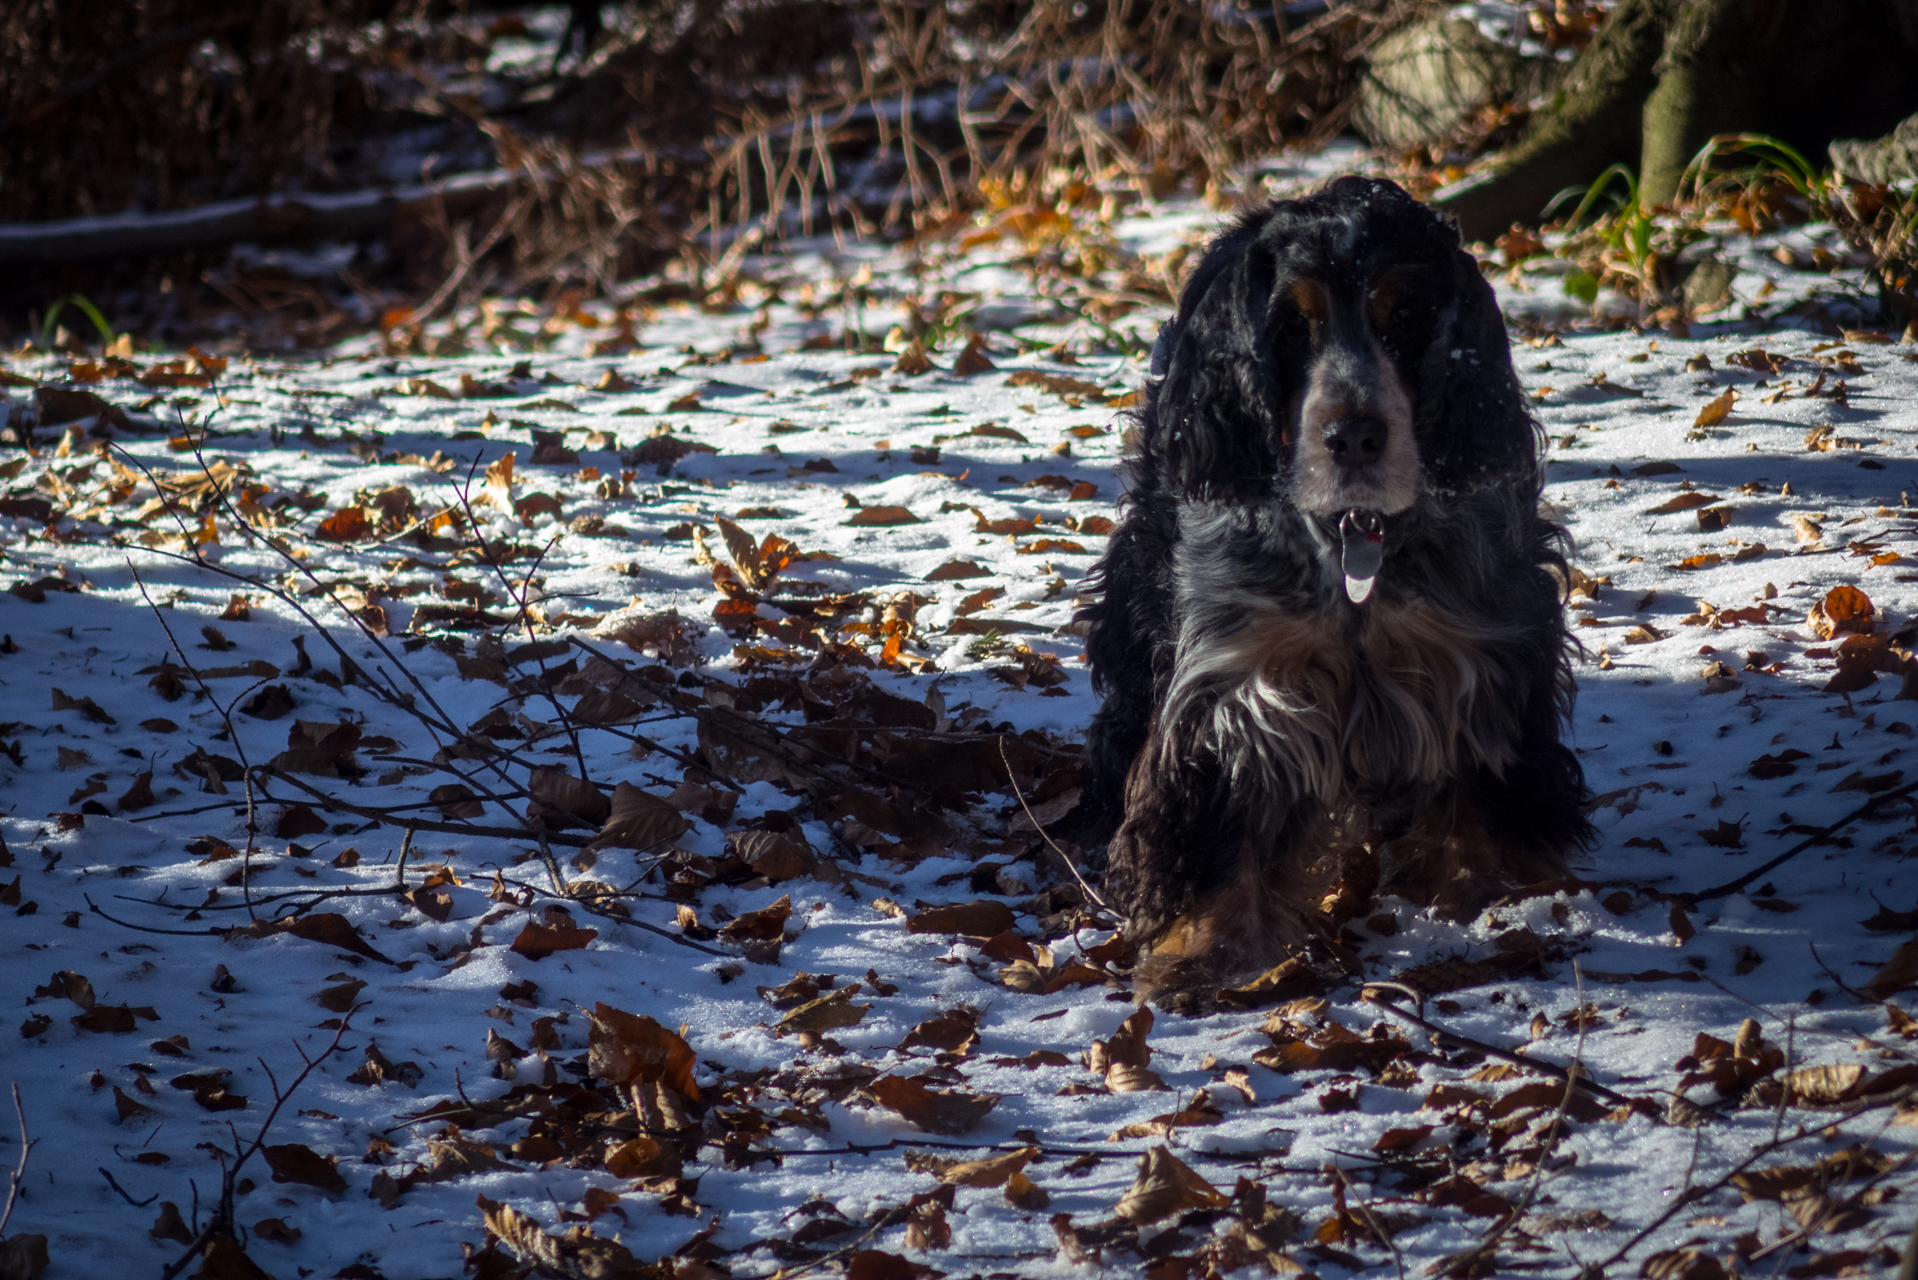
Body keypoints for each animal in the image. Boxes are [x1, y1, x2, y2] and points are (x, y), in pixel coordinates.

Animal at [1081, 177, 1588, 997]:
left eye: (1407, 317)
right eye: (1291, 325)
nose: (1353, 436)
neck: (1357, 538)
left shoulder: (1485, 646)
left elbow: (1488, 784)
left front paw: (1501, 902)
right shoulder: (1240, 675)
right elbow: (1216, 808)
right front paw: (1205, 951)